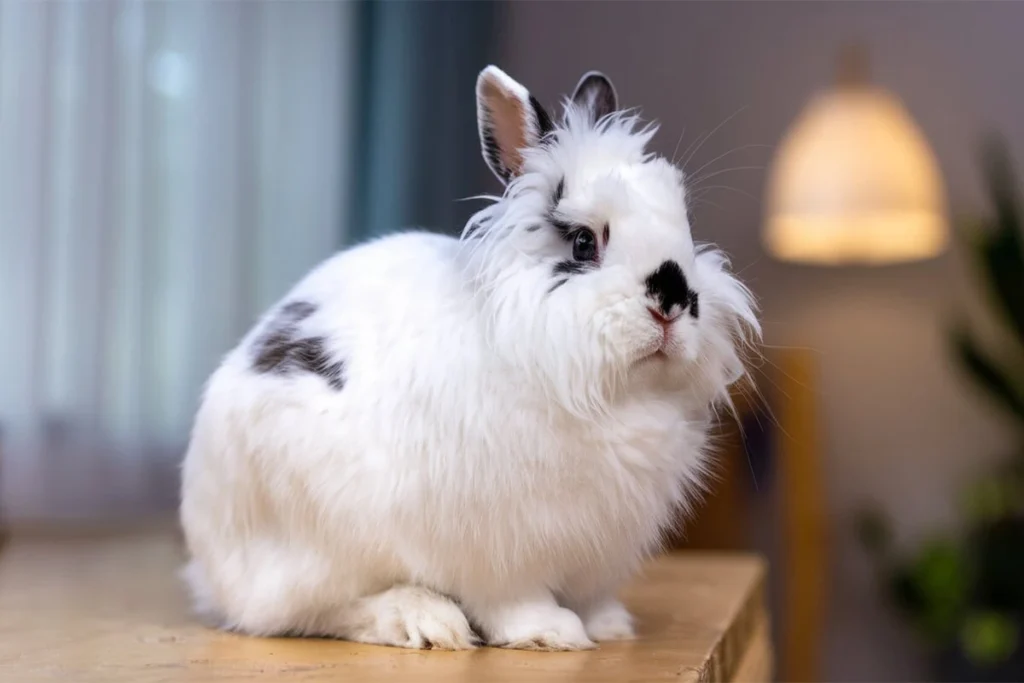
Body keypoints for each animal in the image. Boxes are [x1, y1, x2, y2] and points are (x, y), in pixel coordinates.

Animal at [180, 66, 761, 655]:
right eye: (582, 243)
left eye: (686, 228)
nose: (675, 300)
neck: (609, 389)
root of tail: (209, 567)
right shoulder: (500, 541)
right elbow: (511, 599)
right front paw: (552, 633)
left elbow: (590, 594)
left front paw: (608, 625)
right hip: (319, 538)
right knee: (302, 611)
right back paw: (423, 620)